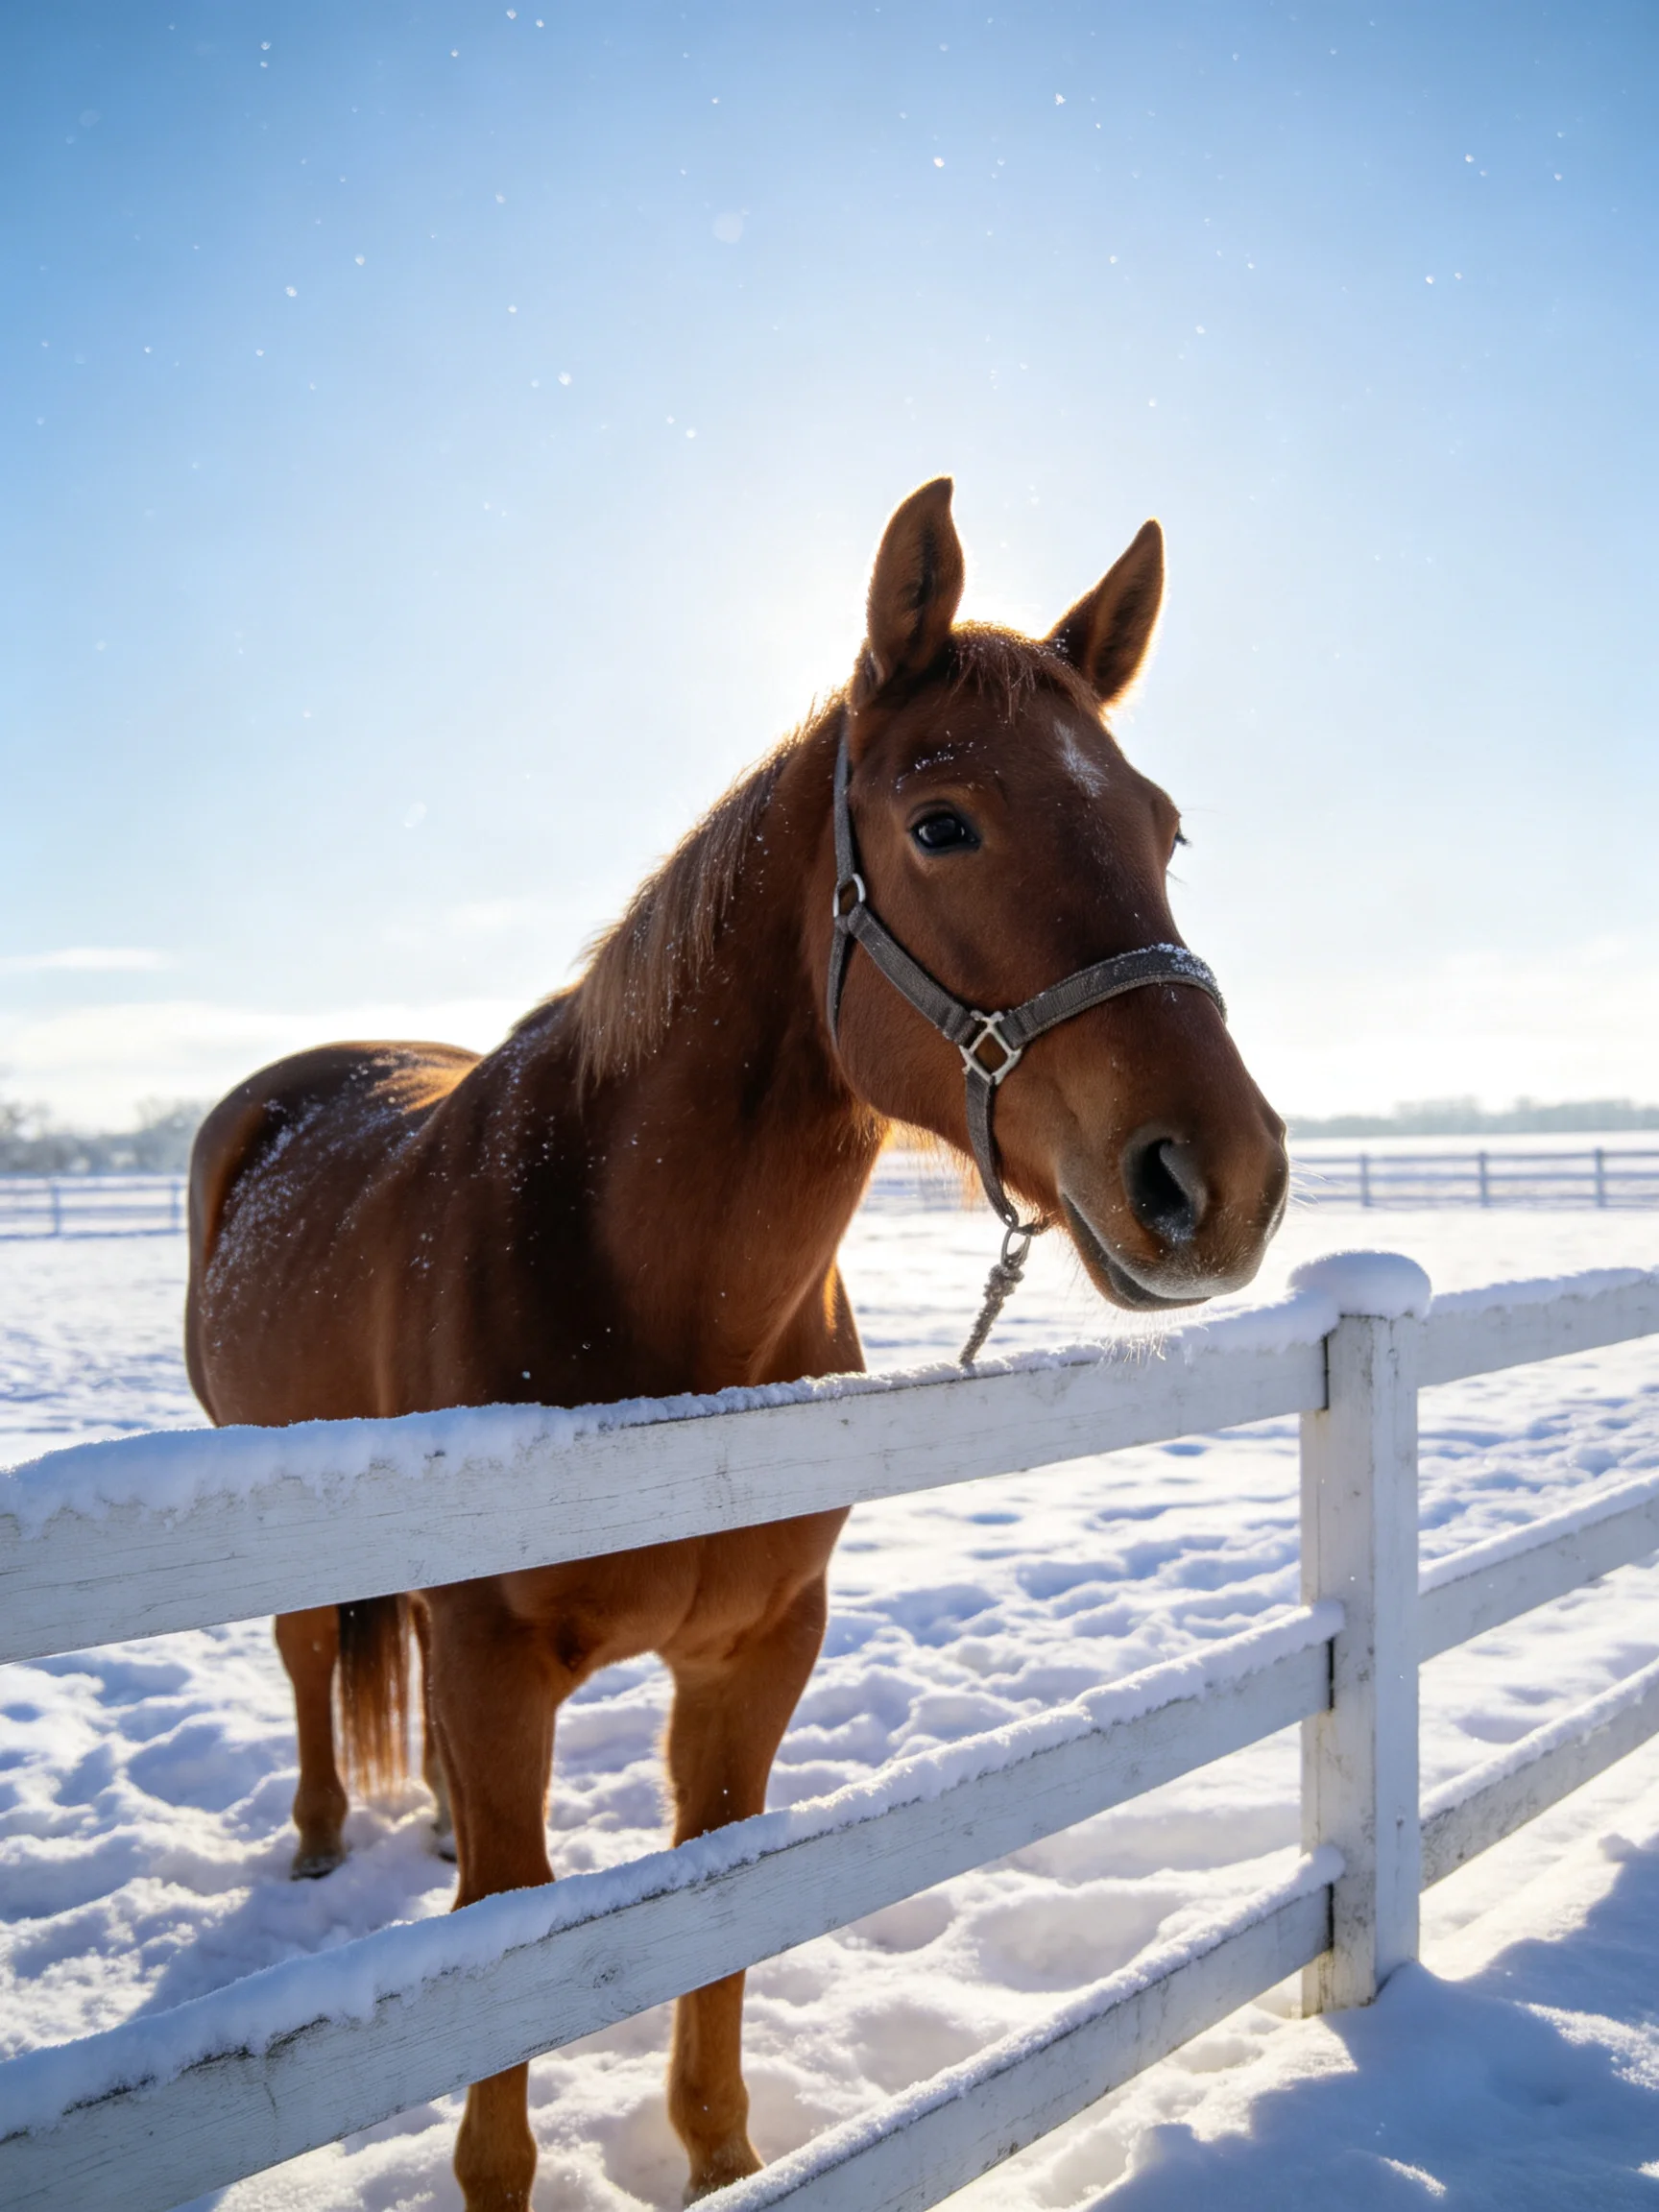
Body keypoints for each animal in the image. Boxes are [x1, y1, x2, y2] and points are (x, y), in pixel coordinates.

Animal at [184, 478, 1289, 2209]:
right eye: (942, 823)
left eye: (1161, 827)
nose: (1219, 1177)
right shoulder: (501, 1665)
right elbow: (505, 1947)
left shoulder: (755, 1653)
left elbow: (715, 1911)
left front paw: (718, 2152)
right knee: (312, 1661)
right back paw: (315, 1839)